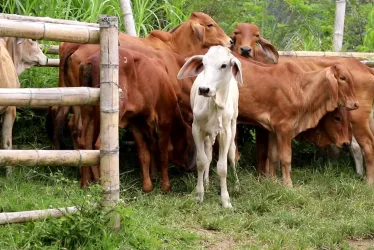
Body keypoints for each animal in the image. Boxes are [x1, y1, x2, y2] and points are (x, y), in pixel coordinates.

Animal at [178, 46, 243, 208]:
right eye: (204, 64)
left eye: (224, 65)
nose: (204, 89)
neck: (213, 104)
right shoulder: (196, 129)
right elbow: (202, 161)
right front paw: (199, 194)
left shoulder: (225, 132)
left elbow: (222, 167)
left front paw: (226, 200)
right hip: (207, 135)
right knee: (208, 154)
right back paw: (206, 183)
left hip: (233, 125)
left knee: (231, 153)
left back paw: (237, 185)